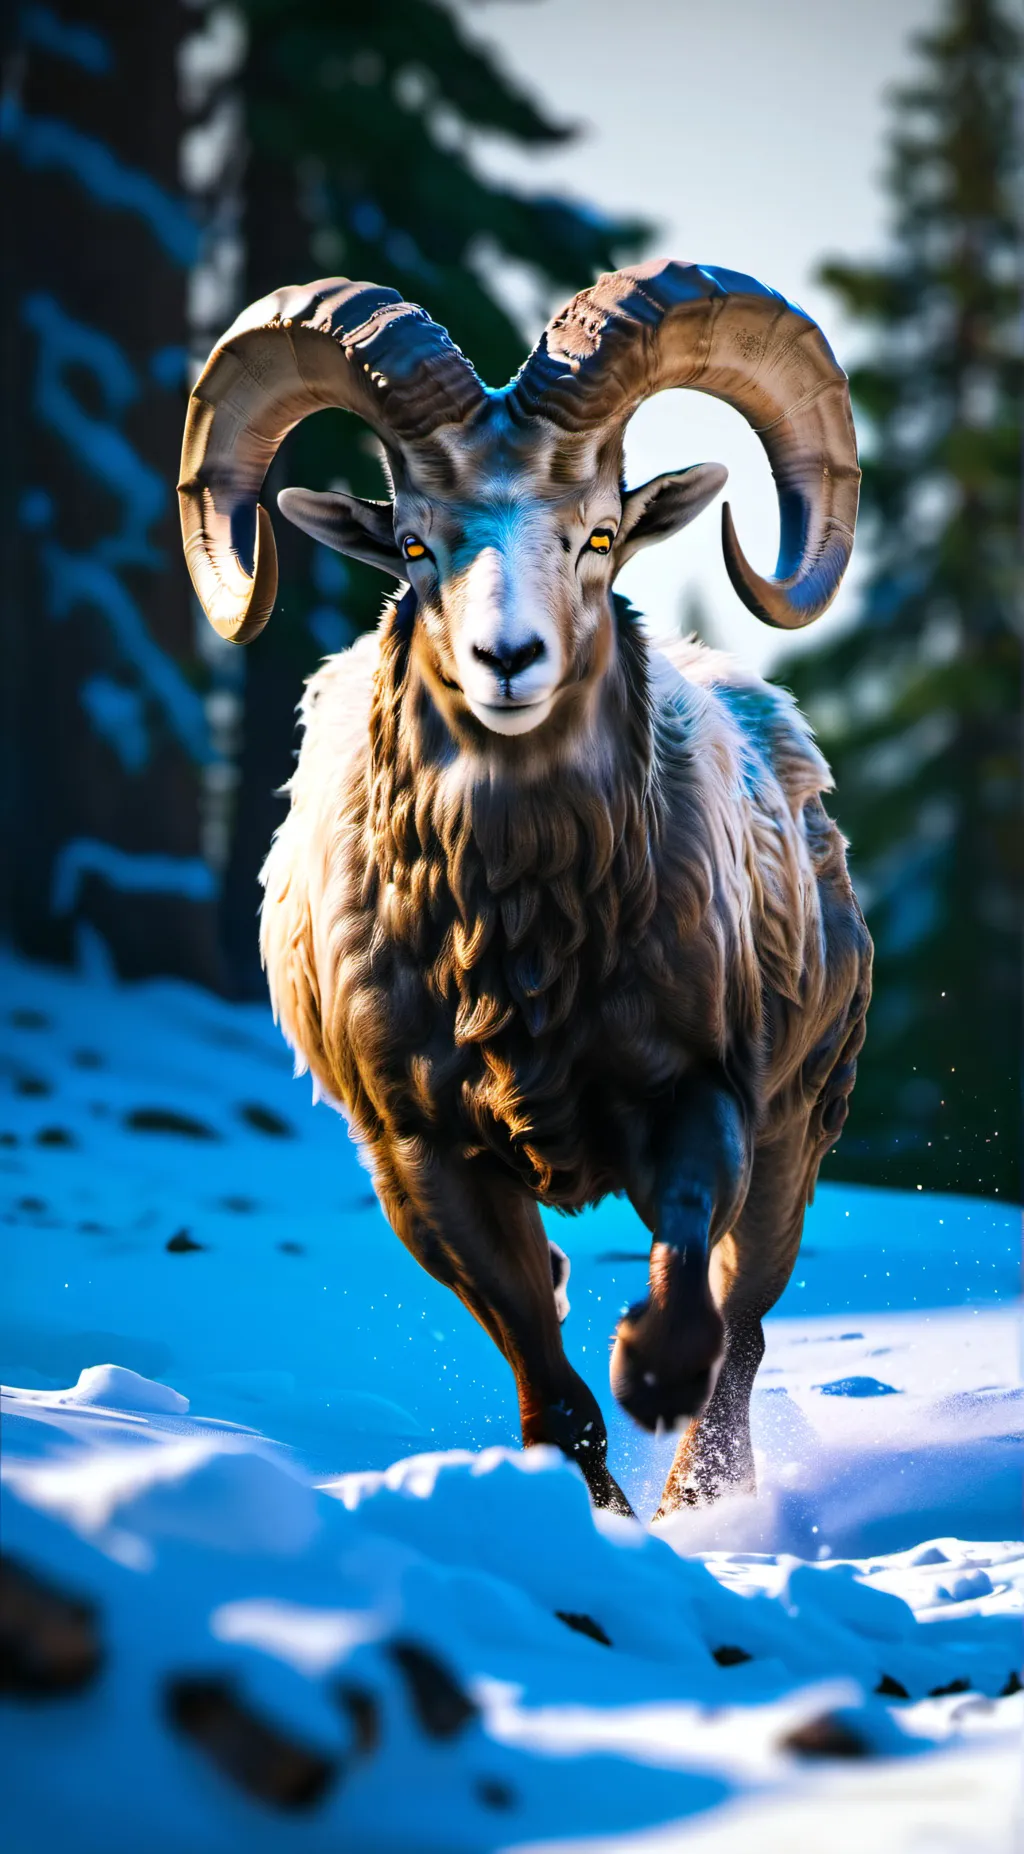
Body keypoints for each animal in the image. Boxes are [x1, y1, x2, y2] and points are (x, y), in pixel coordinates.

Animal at [179, 261, 872, 1520]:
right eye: (414, 547)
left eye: (597, 534)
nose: (509, 662)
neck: (524, 947)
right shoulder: (424, 1162)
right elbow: (546, 1382)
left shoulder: (706, 1098)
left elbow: (691, 1285)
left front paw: (655, 1382)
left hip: (799, 1129)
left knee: (747, 1323)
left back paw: (704, 1497)